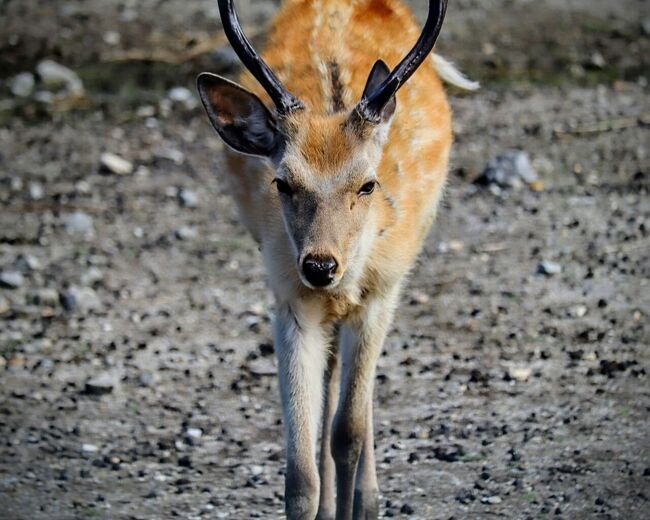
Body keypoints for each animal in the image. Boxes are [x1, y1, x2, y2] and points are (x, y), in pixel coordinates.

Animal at [195, 1, 474, 516]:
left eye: (367, 184)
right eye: (282, 182)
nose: (320, 266)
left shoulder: (380, 295)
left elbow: (350, 433)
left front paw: (356, 501)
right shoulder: (289, 298)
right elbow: (299, 472)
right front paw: (318, 498)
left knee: (358, 402)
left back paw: (369, 499)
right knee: (330, 377)